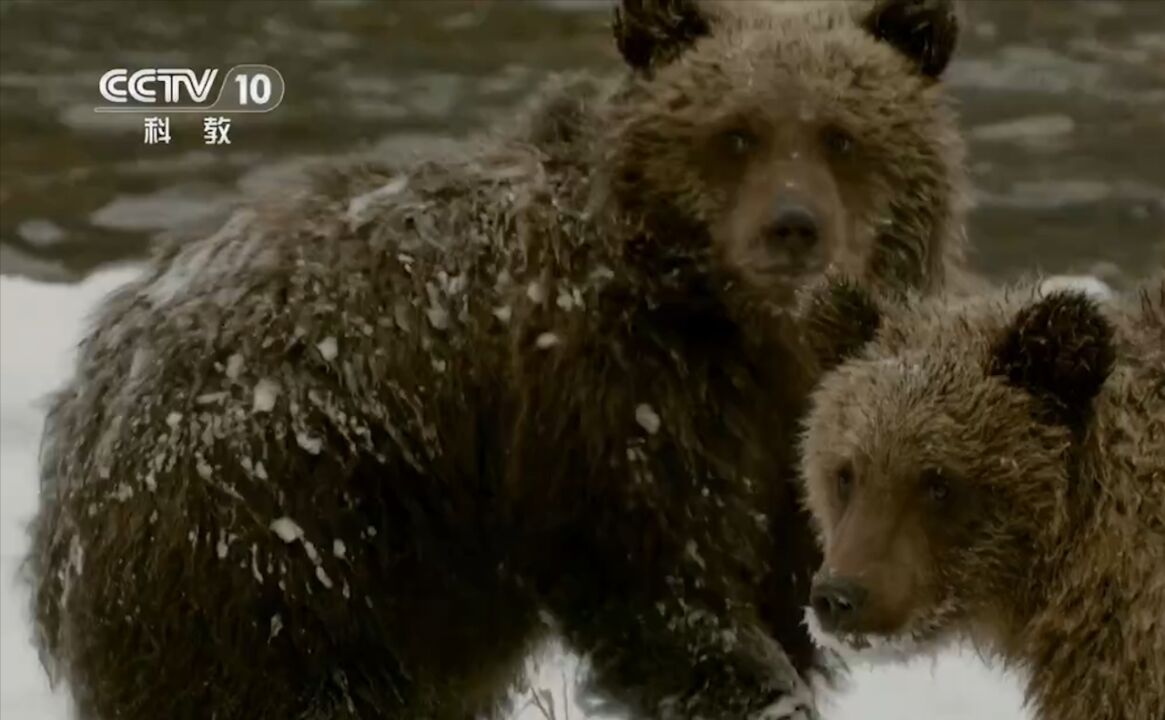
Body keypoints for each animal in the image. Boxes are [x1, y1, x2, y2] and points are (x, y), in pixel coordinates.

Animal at [27, 1, 969, 717]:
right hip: (277, 525)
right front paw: (752, 688)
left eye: (840, 135)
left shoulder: (781, 435)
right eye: (735, 133)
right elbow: (666, 590)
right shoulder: (607, 405)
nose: (792, 226)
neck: (738, 328)